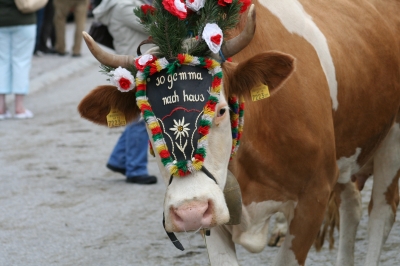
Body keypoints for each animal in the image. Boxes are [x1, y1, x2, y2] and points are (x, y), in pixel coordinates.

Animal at [78, 1, 400, 264]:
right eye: (147, 118)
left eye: (220, 110)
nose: (190, 210)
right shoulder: (217, 211)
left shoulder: (315, 194)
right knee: (352, 206)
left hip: (390, 142)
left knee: (381, 213)